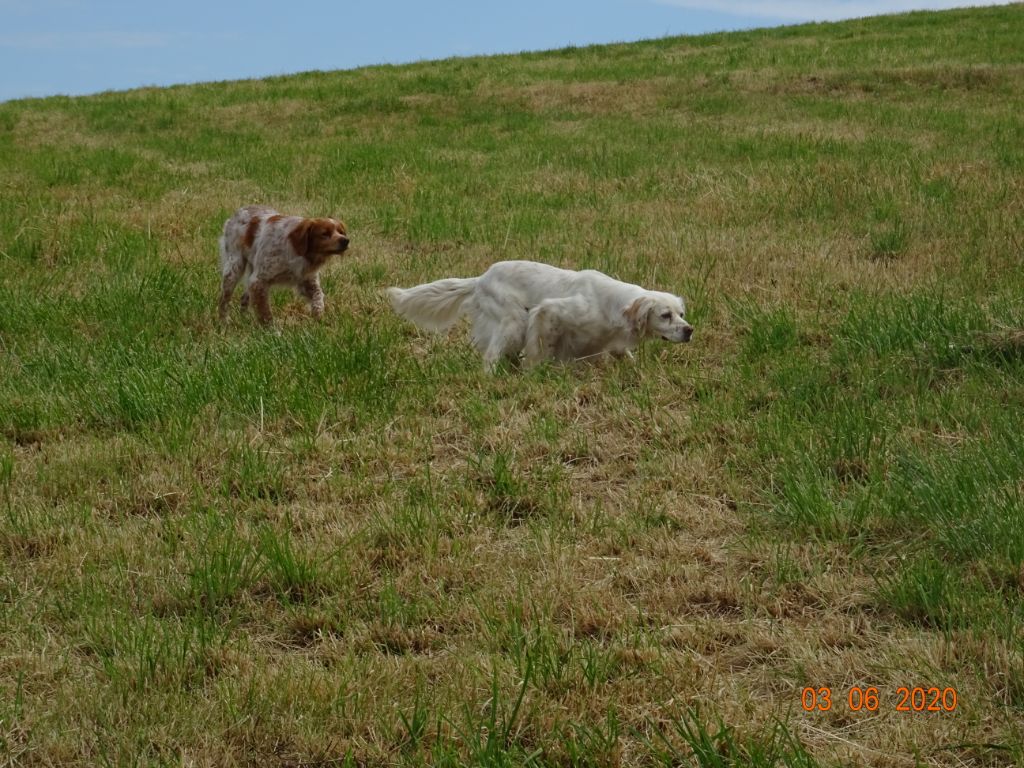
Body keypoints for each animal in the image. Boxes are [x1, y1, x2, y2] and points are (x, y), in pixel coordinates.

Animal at [218, 205, 350, 323]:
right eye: (324, 233)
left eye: (341, 232)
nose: (346, 240)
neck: (298, 251)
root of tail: (237, 213)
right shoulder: (258, 281)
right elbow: (265, 314)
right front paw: (273, 332)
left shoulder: (307, 280)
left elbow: (318, 296)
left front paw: (318, 316)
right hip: (234, 268)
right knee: (224, 300)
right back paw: (223, 322)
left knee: (244, 298)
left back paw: (244, 319)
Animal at [387, 262, 692, 372]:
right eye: (665, 315)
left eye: (681, 314)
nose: (689, 330)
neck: (612, 304)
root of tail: (480, 278)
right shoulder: (547, 312)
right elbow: (538, 351)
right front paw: (533, 373)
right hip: (513, 322)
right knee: (490, 357)